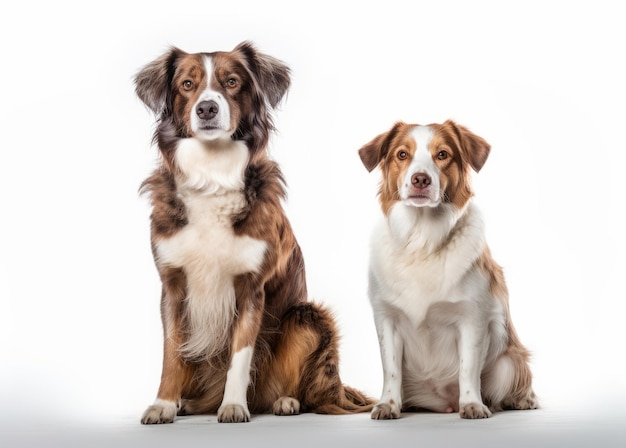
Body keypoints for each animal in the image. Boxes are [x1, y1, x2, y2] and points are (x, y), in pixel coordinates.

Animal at [135, 41, 372, 424]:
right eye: (187, 84)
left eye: (232, 82)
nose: (207, 108)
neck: (213, 174)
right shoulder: (172, 284)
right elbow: (172, 352)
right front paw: (163, 404)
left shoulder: (251, 287)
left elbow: (240, 354)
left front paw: (233, 405)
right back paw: (191, 403)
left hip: (306, 316)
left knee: (301, 387)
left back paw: (285, 402)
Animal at [356, 120, 536, 420]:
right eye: (402, 154)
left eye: (442, 154)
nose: (420, 179)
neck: (422, 241)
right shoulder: (386, 318)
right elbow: (390, 369)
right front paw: (388, 405)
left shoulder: (473, 317)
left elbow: (467, 368)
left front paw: (472, 404)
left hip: (507, 362)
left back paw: (521, 400)